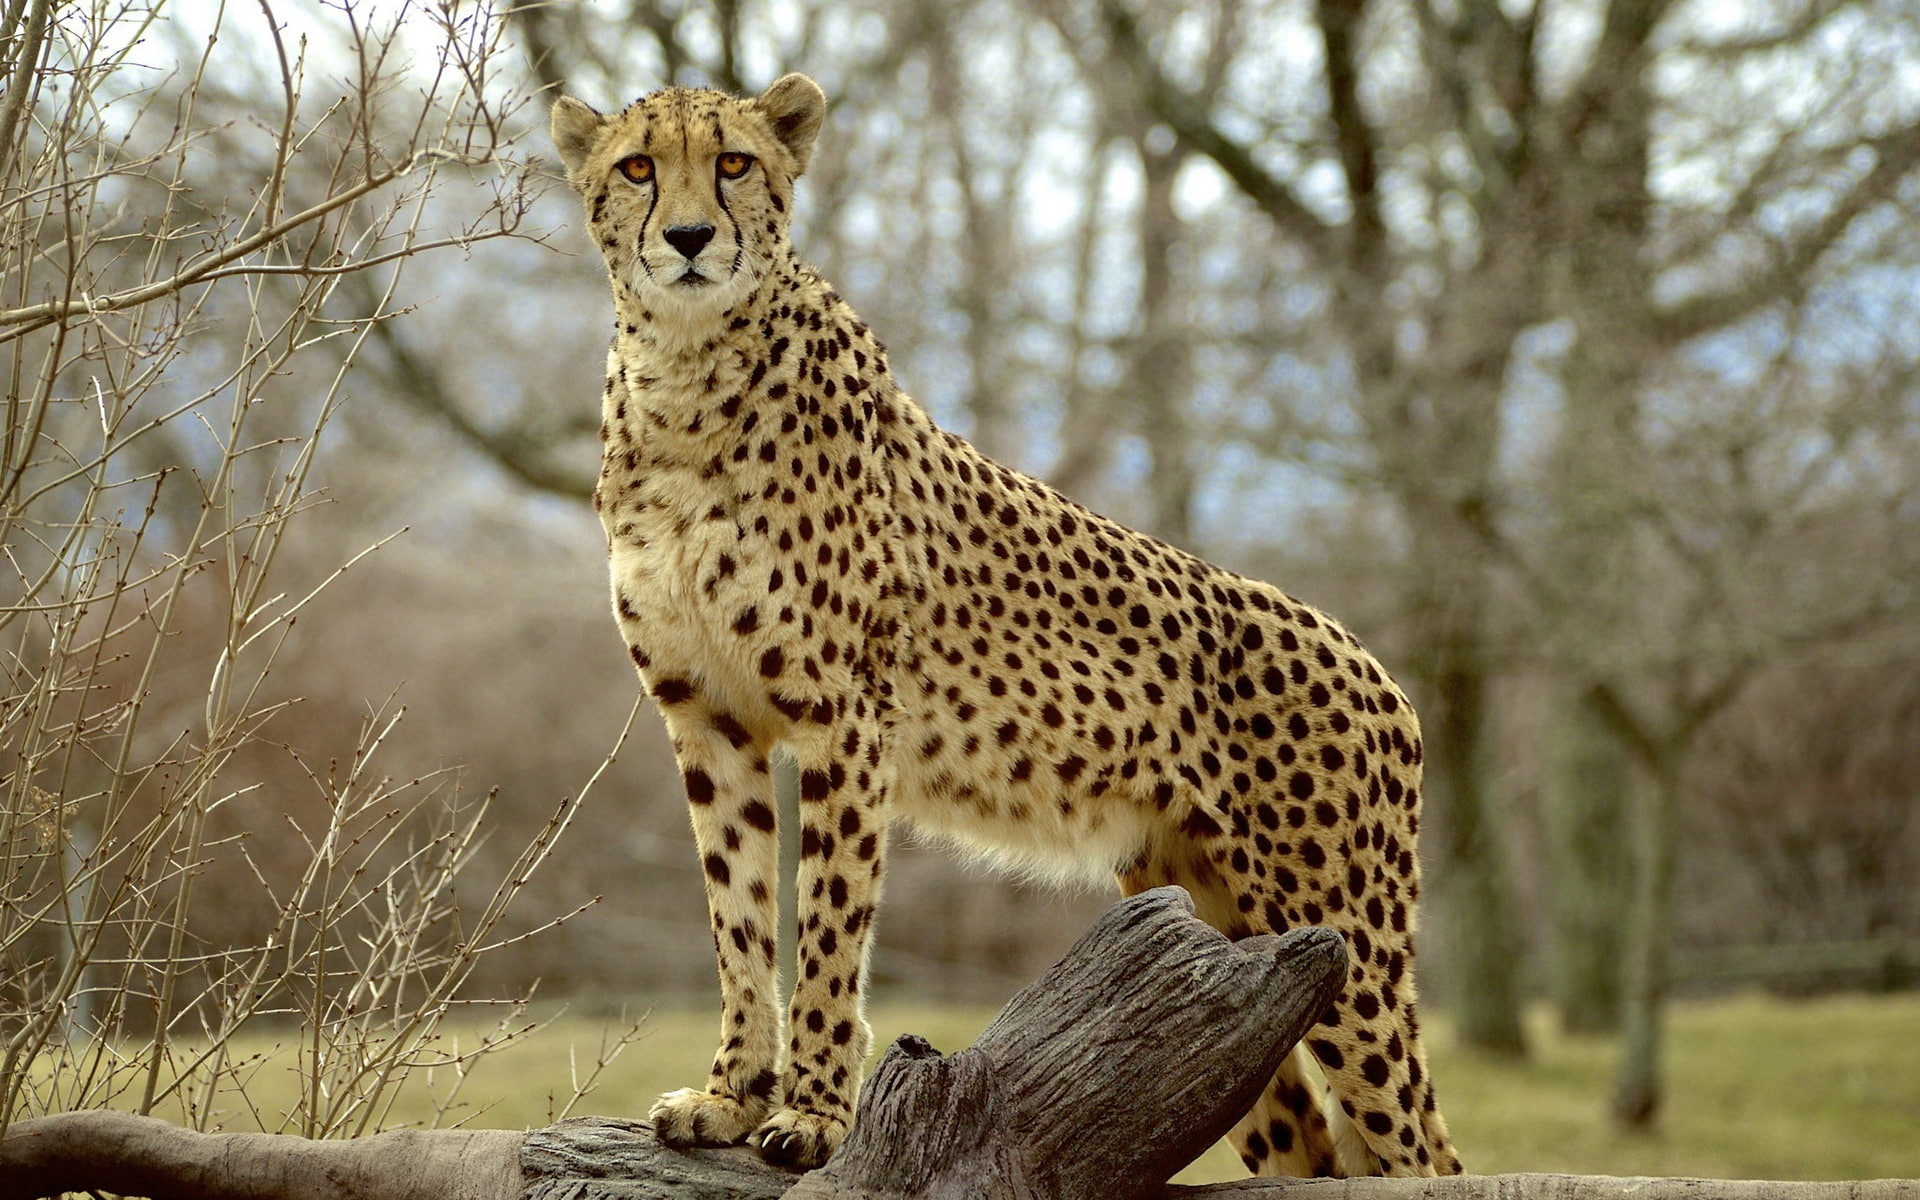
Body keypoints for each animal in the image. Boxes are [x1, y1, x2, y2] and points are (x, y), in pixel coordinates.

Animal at [550, 74, 1462, 1179]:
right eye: (638, 167)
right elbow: (740, 919)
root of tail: (1376, 665)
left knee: (1422, 1150)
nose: (688, 238)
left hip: (1343, 945)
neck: (684, 378)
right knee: (1308, 1145)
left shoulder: (844, 720)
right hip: (1224, 942)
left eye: (733, 163)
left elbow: (828, 922)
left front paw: (815, 1113)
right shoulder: (706, 719)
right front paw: (729, 1095)